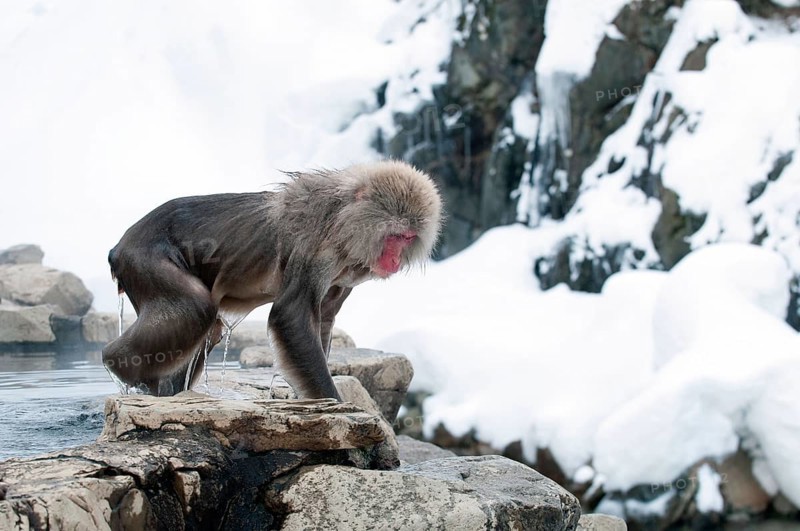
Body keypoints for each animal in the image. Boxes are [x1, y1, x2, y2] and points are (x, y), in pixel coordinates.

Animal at [102, 160, 442, 399]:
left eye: (408, 238)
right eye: (395, 235)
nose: (394, 262)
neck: (342, 224)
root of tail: (118, 247)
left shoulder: (341, 276)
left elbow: (324, 319)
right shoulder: (314, 252)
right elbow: (291, 316)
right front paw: (335, 404)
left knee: (207, 327)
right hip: (143, 258)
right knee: (195, 308)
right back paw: (118, 365)